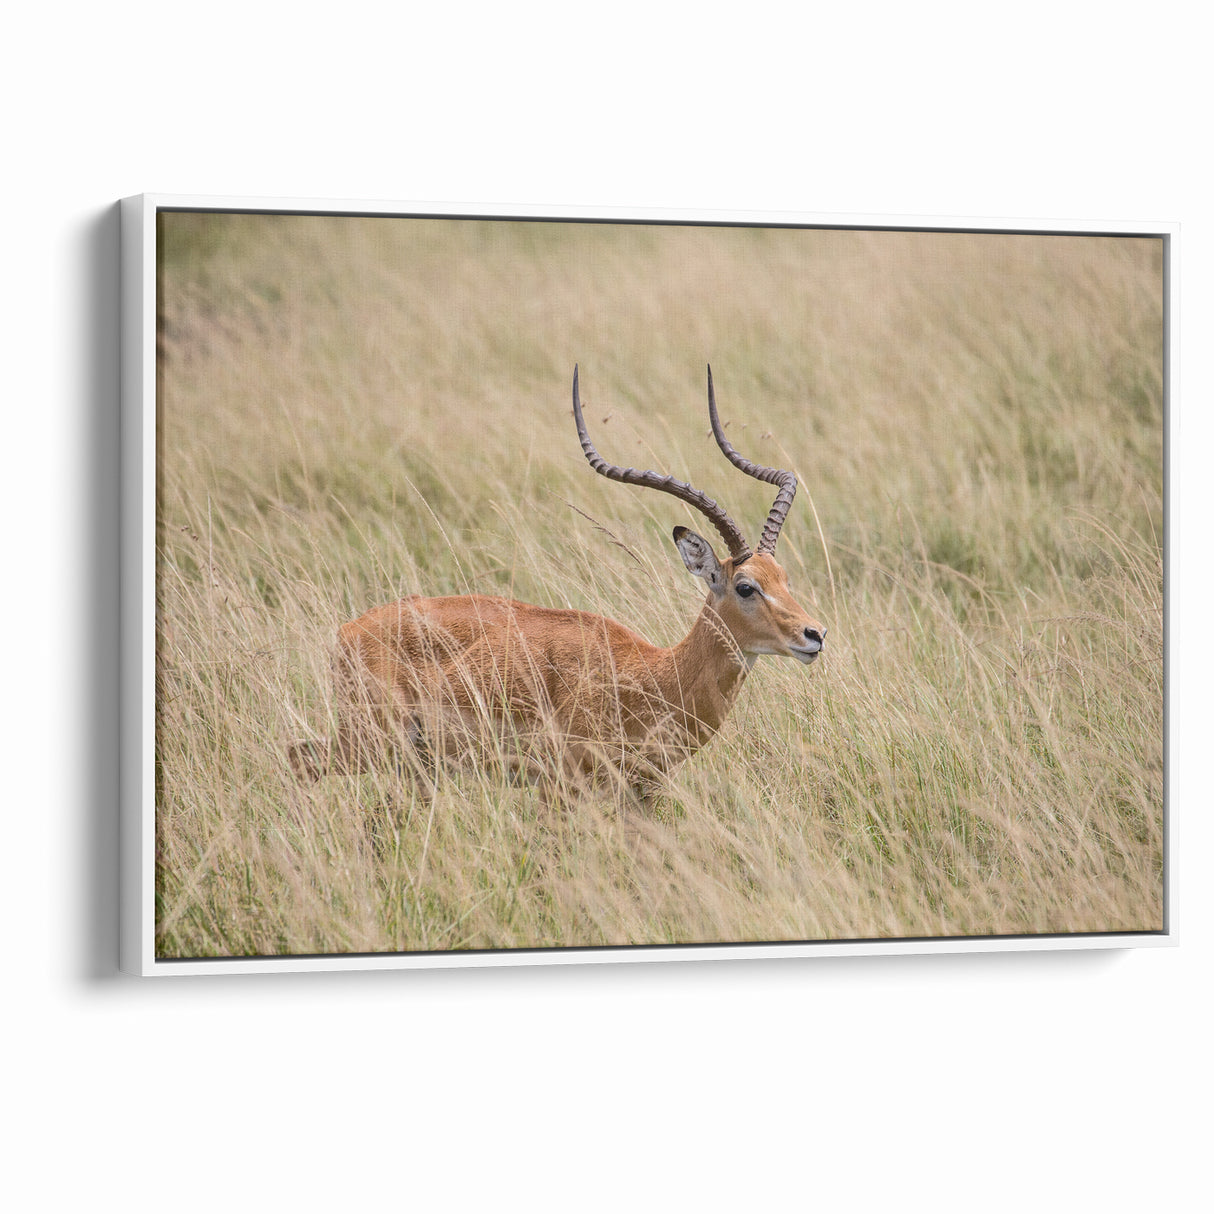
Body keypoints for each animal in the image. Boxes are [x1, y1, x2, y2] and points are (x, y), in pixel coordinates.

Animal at [289, 366, 826, 802]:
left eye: (783, 577)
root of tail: (348, 630)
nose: (814, 635)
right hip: (371, 742)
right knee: (298, 760)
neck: (650, 676)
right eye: (745, 587)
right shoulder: (562, 787)